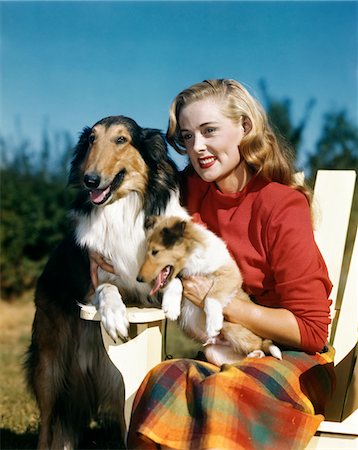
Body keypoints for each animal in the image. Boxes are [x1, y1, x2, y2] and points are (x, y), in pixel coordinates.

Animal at [25, 117, 186, 450]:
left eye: (122, 139)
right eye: (91, 141)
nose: (90, 180)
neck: (121, 209)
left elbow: (172, 278)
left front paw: (172, 302)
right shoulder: (96, 277)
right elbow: (108, 288)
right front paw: (114, 316)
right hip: (49, 365)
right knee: (47, 425)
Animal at [138, 214, 282, 366]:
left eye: (155, 252)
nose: (139, 279)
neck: (192, 258)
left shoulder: (229, 273)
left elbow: (211, 297)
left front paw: (212, 324)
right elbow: (174, 281)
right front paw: (171, 308)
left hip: (233, 328)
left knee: (260, 345)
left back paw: (257, 352)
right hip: (213, 352)